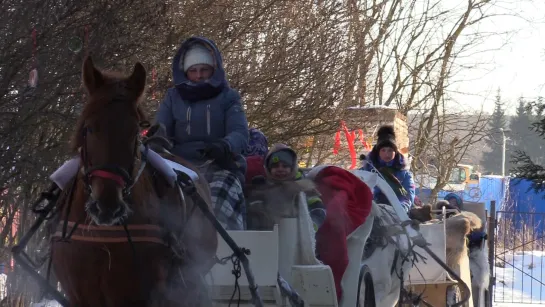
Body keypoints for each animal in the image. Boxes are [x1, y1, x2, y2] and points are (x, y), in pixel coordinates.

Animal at [50, 57, 217, 307]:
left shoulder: (141, 294)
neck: (103, 238)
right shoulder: (79, 295)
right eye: (89, 128)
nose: (107, 206)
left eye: (134, 132)